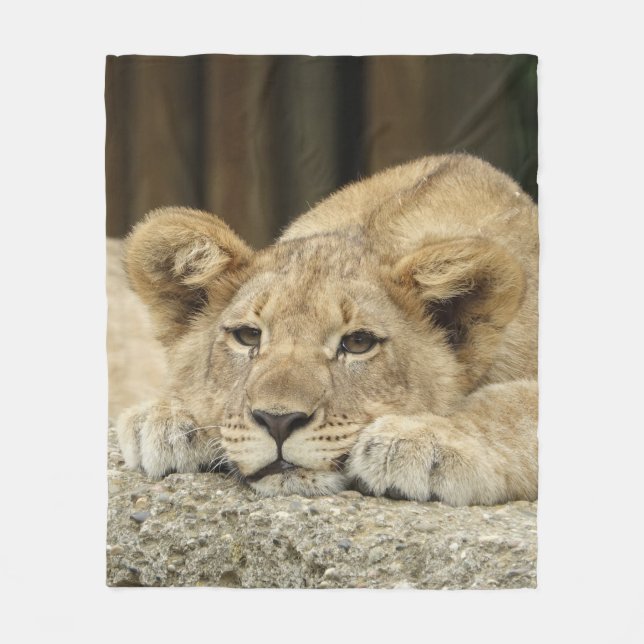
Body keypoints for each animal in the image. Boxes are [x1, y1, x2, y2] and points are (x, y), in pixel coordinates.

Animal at [115, 153, 538, 506]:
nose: (278, 421)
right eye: (248, 336)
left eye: (358, 343)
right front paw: (165, 420)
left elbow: (511, 407)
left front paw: (418, 440)